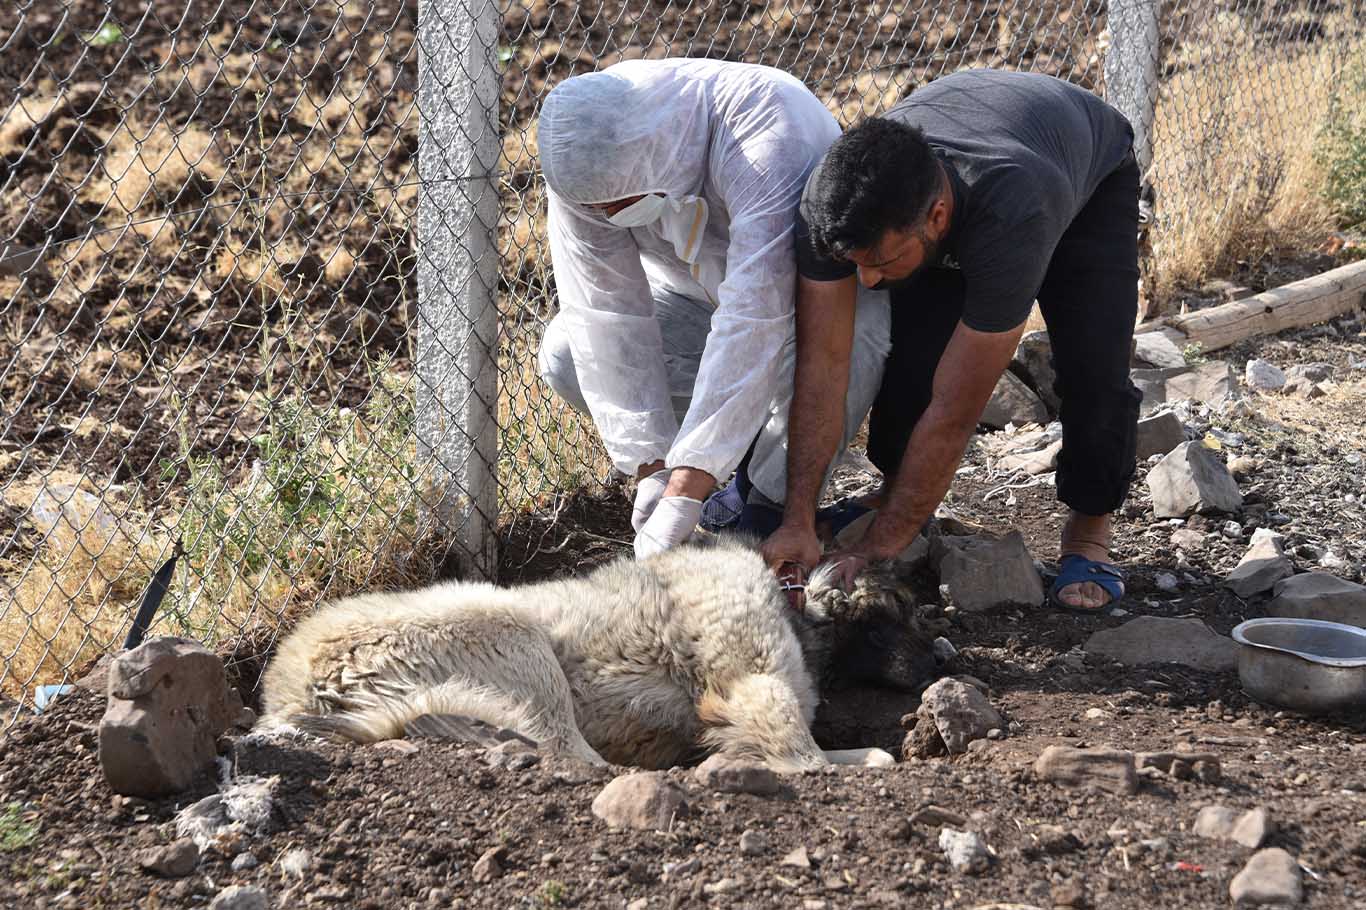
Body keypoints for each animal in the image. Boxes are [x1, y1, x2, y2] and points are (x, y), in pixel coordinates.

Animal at [259, 535, 934, 770]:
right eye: (896, 612)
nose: (940, 663)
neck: (798, 610)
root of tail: (292, 692)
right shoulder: (752, 682)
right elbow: (816, 754)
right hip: (515, 636)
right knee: (570, 755)